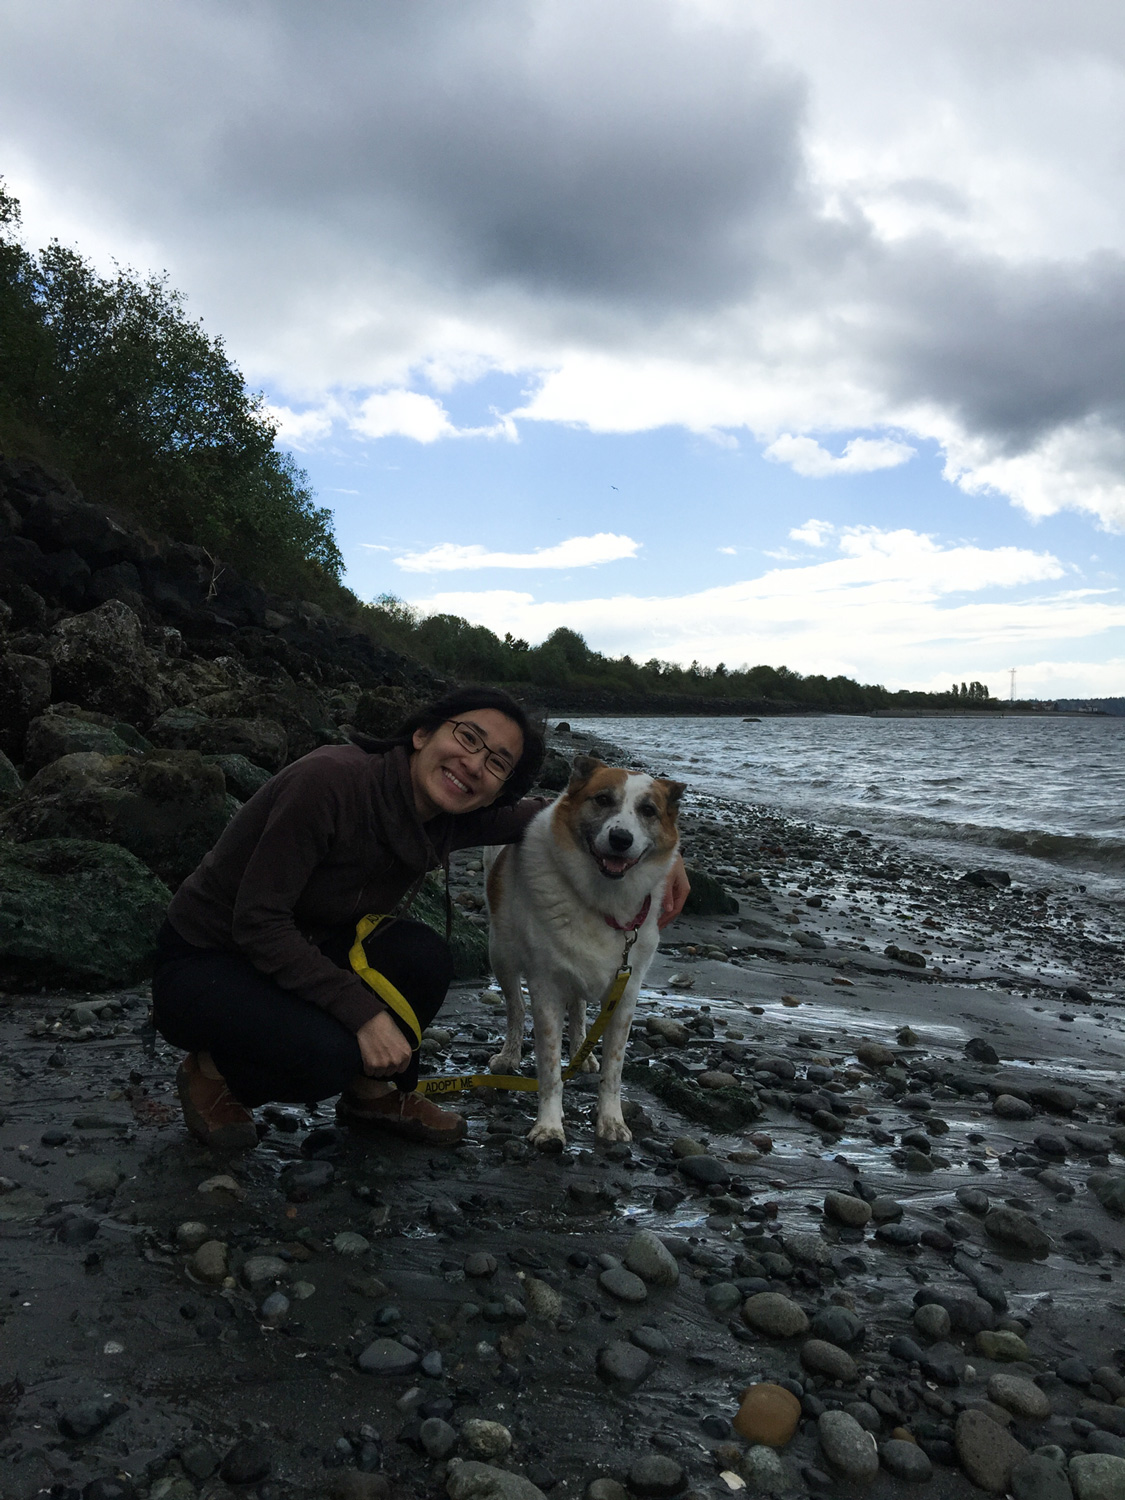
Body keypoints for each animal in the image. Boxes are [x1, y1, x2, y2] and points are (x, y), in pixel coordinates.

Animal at [485, 755, 684, 1150]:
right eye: (603, 799)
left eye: (648, 811)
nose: (621, 839)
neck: (600, 901)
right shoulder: (545, 987)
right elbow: (549, 1066)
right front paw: (548, 1126)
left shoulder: (625, 993)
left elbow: (614, 1069)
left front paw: (611, 1121)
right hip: (501, 955)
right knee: (515, 1008)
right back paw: (510, 1054)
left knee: (577, 1009)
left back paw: (584, 1052)